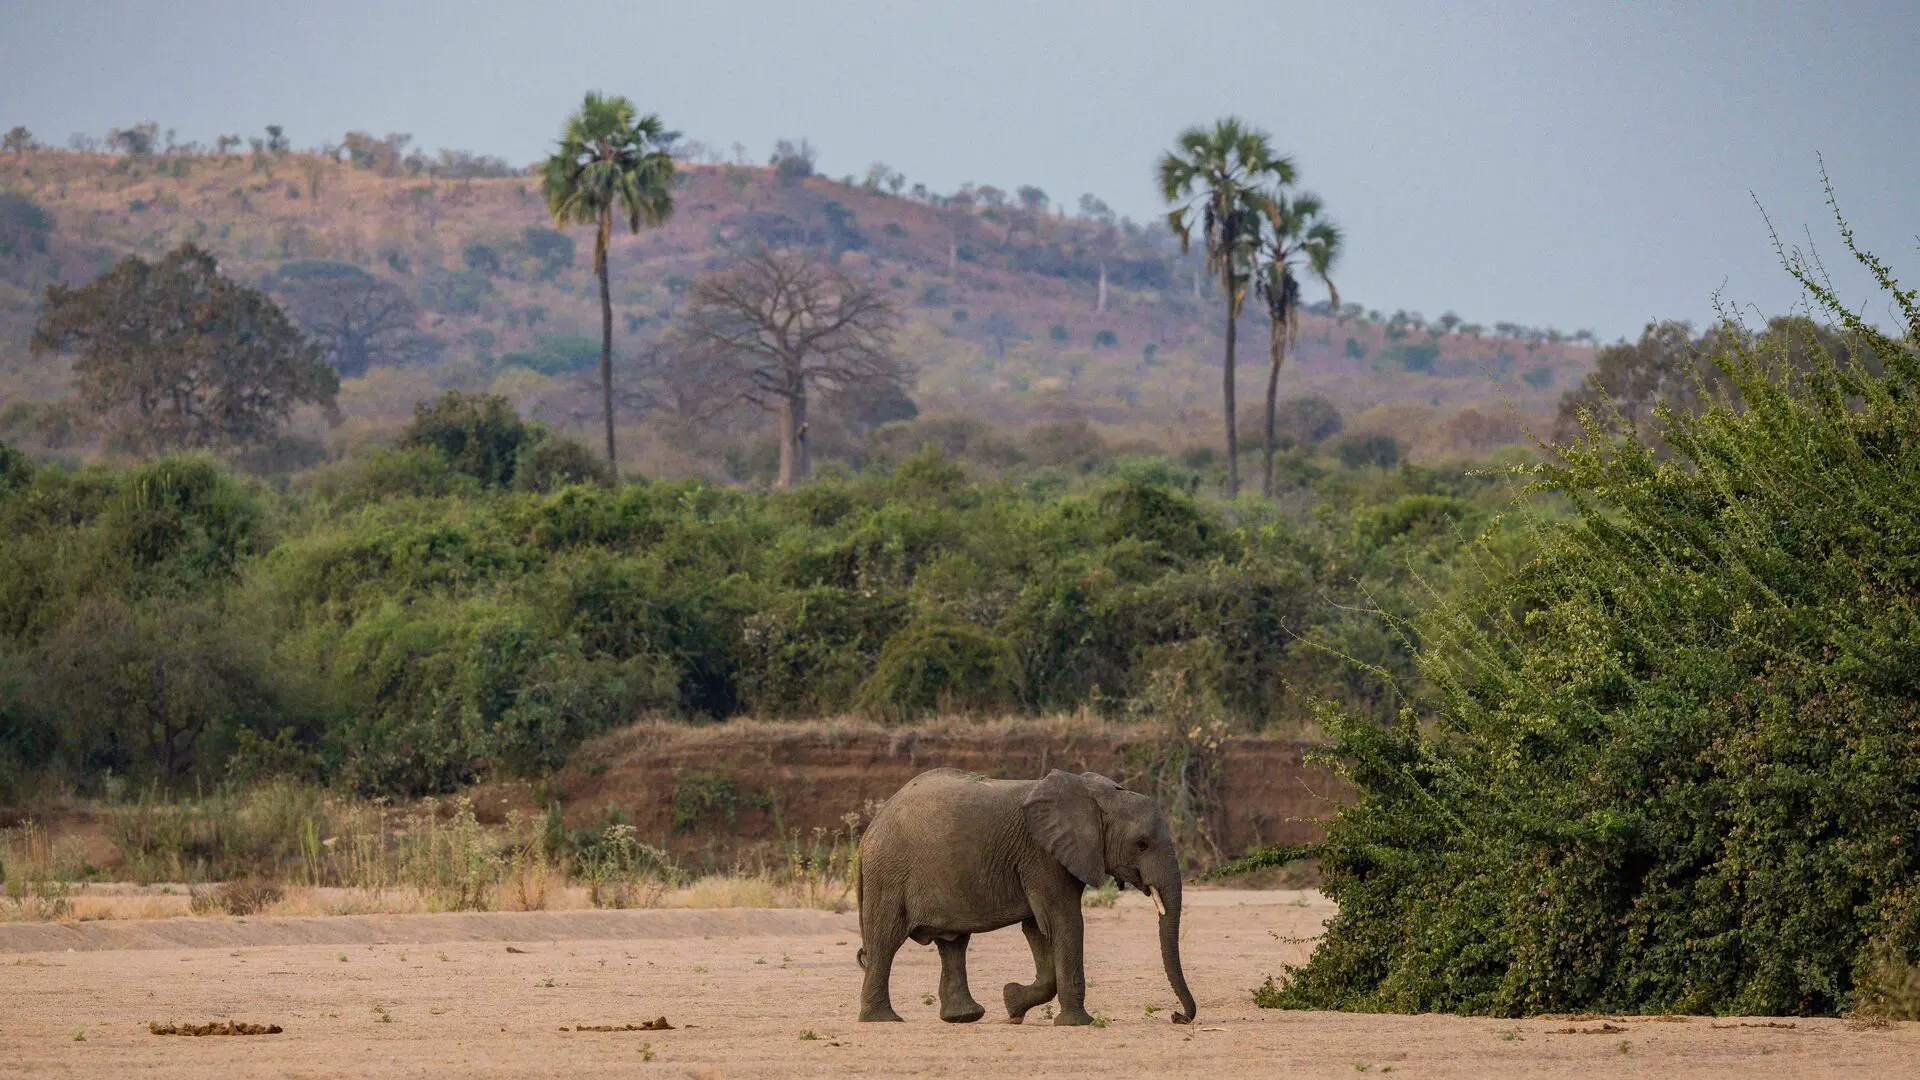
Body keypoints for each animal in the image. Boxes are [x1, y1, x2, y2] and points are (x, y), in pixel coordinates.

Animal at [854, 767, 1195, 1026]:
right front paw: (1077, 1024)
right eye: (1142, 844)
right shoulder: (1042, 855)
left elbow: (1038, 928)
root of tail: (869, 832)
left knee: (953, 943)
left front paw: (1012, 1003)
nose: (1176, 1016)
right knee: (886, 940)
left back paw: (963, 1017)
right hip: (889, 873)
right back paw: (883, 1019)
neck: (1094, 794)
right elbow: (1065, 921)